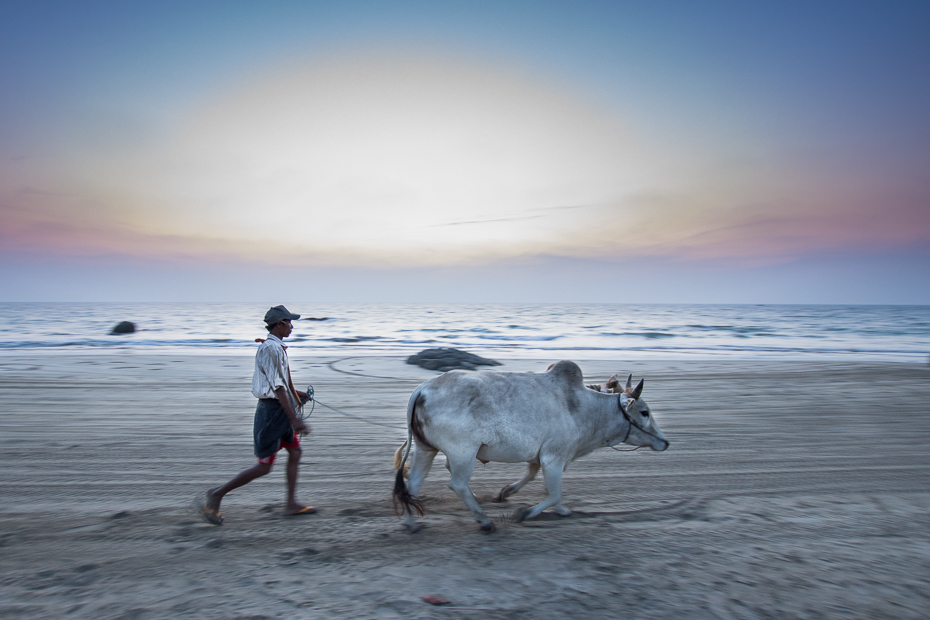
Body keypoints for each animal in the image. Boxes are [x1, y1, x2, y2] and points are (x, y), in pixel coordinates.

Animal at [392, 360, 668, 532]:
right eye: (644, 412)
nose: (664, 442)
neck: (583, 407)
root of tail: (423, 388)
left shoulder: (540, 457)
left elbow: (534, 477)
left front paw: (508, 493)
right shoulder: (554, 457)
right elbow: (554, 493)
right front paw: (526, 513)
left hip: (426, 449)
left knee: (413, 482)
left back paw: (411, 523)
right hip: (463, 453)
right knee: (458, 484)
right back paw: (484, 520)